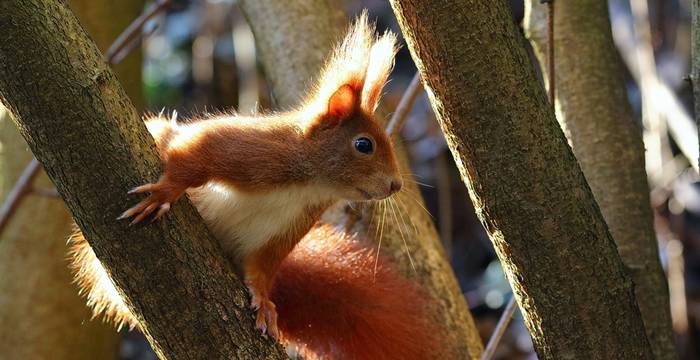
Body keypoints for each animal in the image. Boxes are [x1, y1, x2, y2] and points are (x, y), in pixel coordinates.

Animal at [69, 12, 438, 358]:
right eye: (363, 145)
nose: (395, 185)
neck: (309, 185)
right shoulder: (251, 150)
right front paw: (166, 190)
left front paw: (263, 301)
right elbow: (198, 154)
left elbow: (263, 266)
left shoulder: (289, 226)